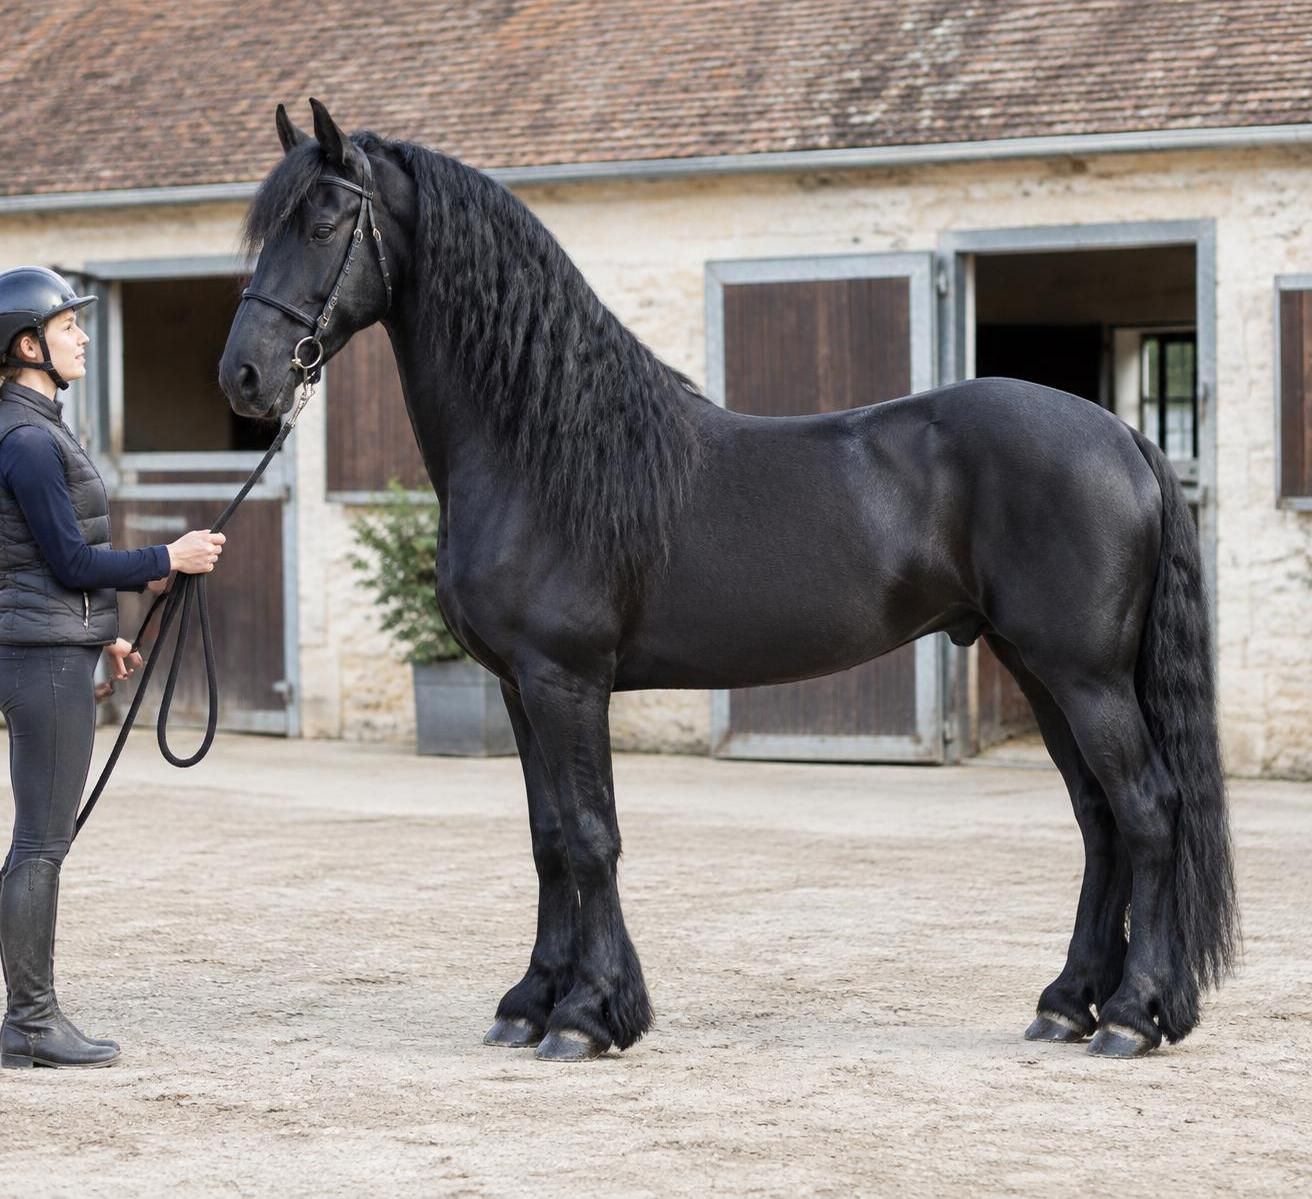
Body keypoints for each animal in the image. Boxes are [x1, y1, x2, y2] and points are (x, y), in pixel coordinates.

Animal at [219, 99, 1238, 1062]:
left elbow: (591, 835)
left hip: (1085, 677)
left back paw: (1133, 1014)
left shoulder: (565, 680)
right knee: (1099, 820)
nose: (245, 376)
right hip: (1040, 671)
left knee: (1147, 813)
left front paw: (588, 1015)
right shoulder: (515, 687)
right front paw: (528, 1003)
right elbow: (549, 841)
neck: (540, 451)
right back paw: (1069, 1002)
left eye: (322, 220)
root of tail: (1122, 435)